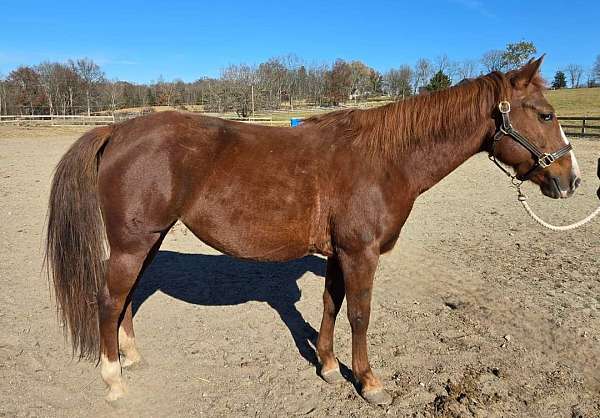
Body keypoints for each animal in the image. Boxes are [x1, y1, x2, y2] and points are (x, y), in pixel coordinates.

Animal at [47, 57, 580, 404]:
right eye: (546, 114)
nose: (571, 179)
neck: (383, 159)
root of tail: (118, 130)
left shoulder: (340, 253)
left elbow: (331, 305)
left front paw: (325, 366)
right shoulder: (361, 253)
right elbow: (360, 315)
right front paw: (369, 383)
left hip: (147, 242)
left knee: (128, 296)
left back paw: (132, 358)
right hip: (131, 243)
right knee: (109, 299)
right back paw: (114, 380)